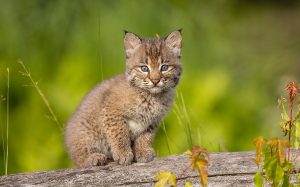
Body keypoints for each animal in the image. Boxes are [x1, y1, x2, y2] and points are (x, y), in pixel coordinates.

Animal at [64, 29, 182, 168]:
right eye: (144, 68)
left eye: (164, 67)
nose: (155, 81)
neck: (151, 96)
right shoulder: (111, 111)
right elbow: (120, 133)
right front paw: (123, 153)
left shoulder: (152, 121)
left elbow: (145, 137)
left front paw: (142, 151)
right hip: (85, 133)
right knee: (78, 159)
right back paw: (93, 158)